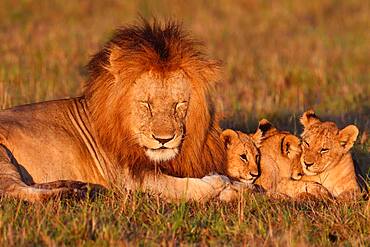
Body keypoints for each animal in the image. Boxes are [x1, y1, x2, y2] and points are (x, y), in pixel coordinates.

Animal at [0, 20, 231, 202]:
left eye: (179, 104)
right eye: (146, 104)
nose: (163, 139)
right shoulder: (130, 179)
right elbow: (183, 187)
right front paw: (218, 181)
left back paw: (78, 186)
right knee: (13, 191)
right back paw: (70, 194)